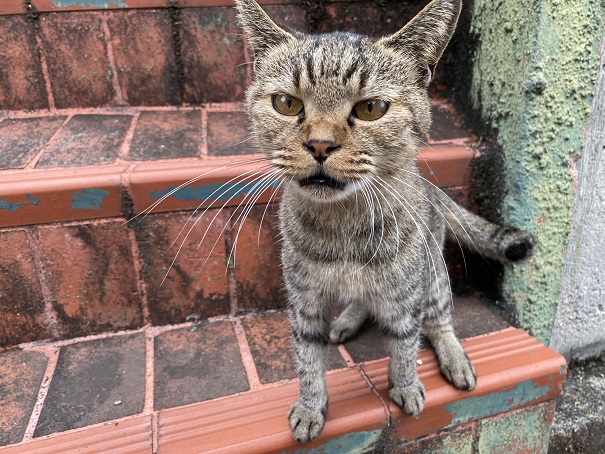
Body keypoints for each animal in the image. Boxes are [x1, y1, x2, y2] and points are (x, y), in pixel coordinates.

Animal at [232, 0, 532, 442]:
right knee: (362, 300)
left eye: (371, 108)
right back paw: (346, 320)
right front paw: (310, 406)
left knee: (439, 318)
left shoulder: (406, 295)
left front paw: (405, 385)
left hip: (433, 273)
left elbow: (405, 345)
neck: (343, 224)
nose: (320, 144)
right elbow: (307, 358)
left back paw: (454, 357)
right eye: (286, 103)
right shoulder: (304, 299)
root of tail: (430, 187)